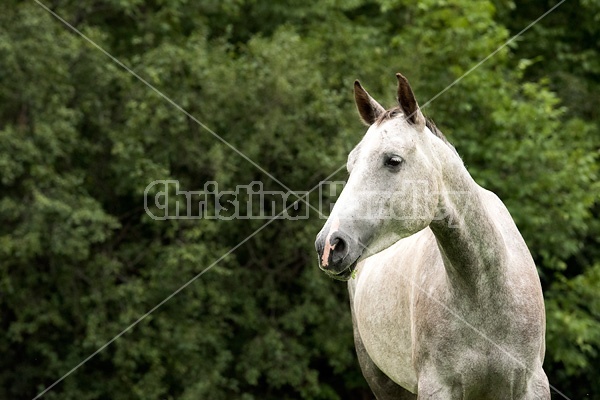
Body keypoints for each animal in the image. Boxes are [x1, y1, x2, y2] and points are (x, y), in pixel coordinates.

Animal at [316, 73, 552, 398]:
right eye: (352, 164)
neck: (485, 293)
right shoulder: (436, 387)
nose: (329, 246)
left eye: (393, 160)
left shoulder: (532, 385)